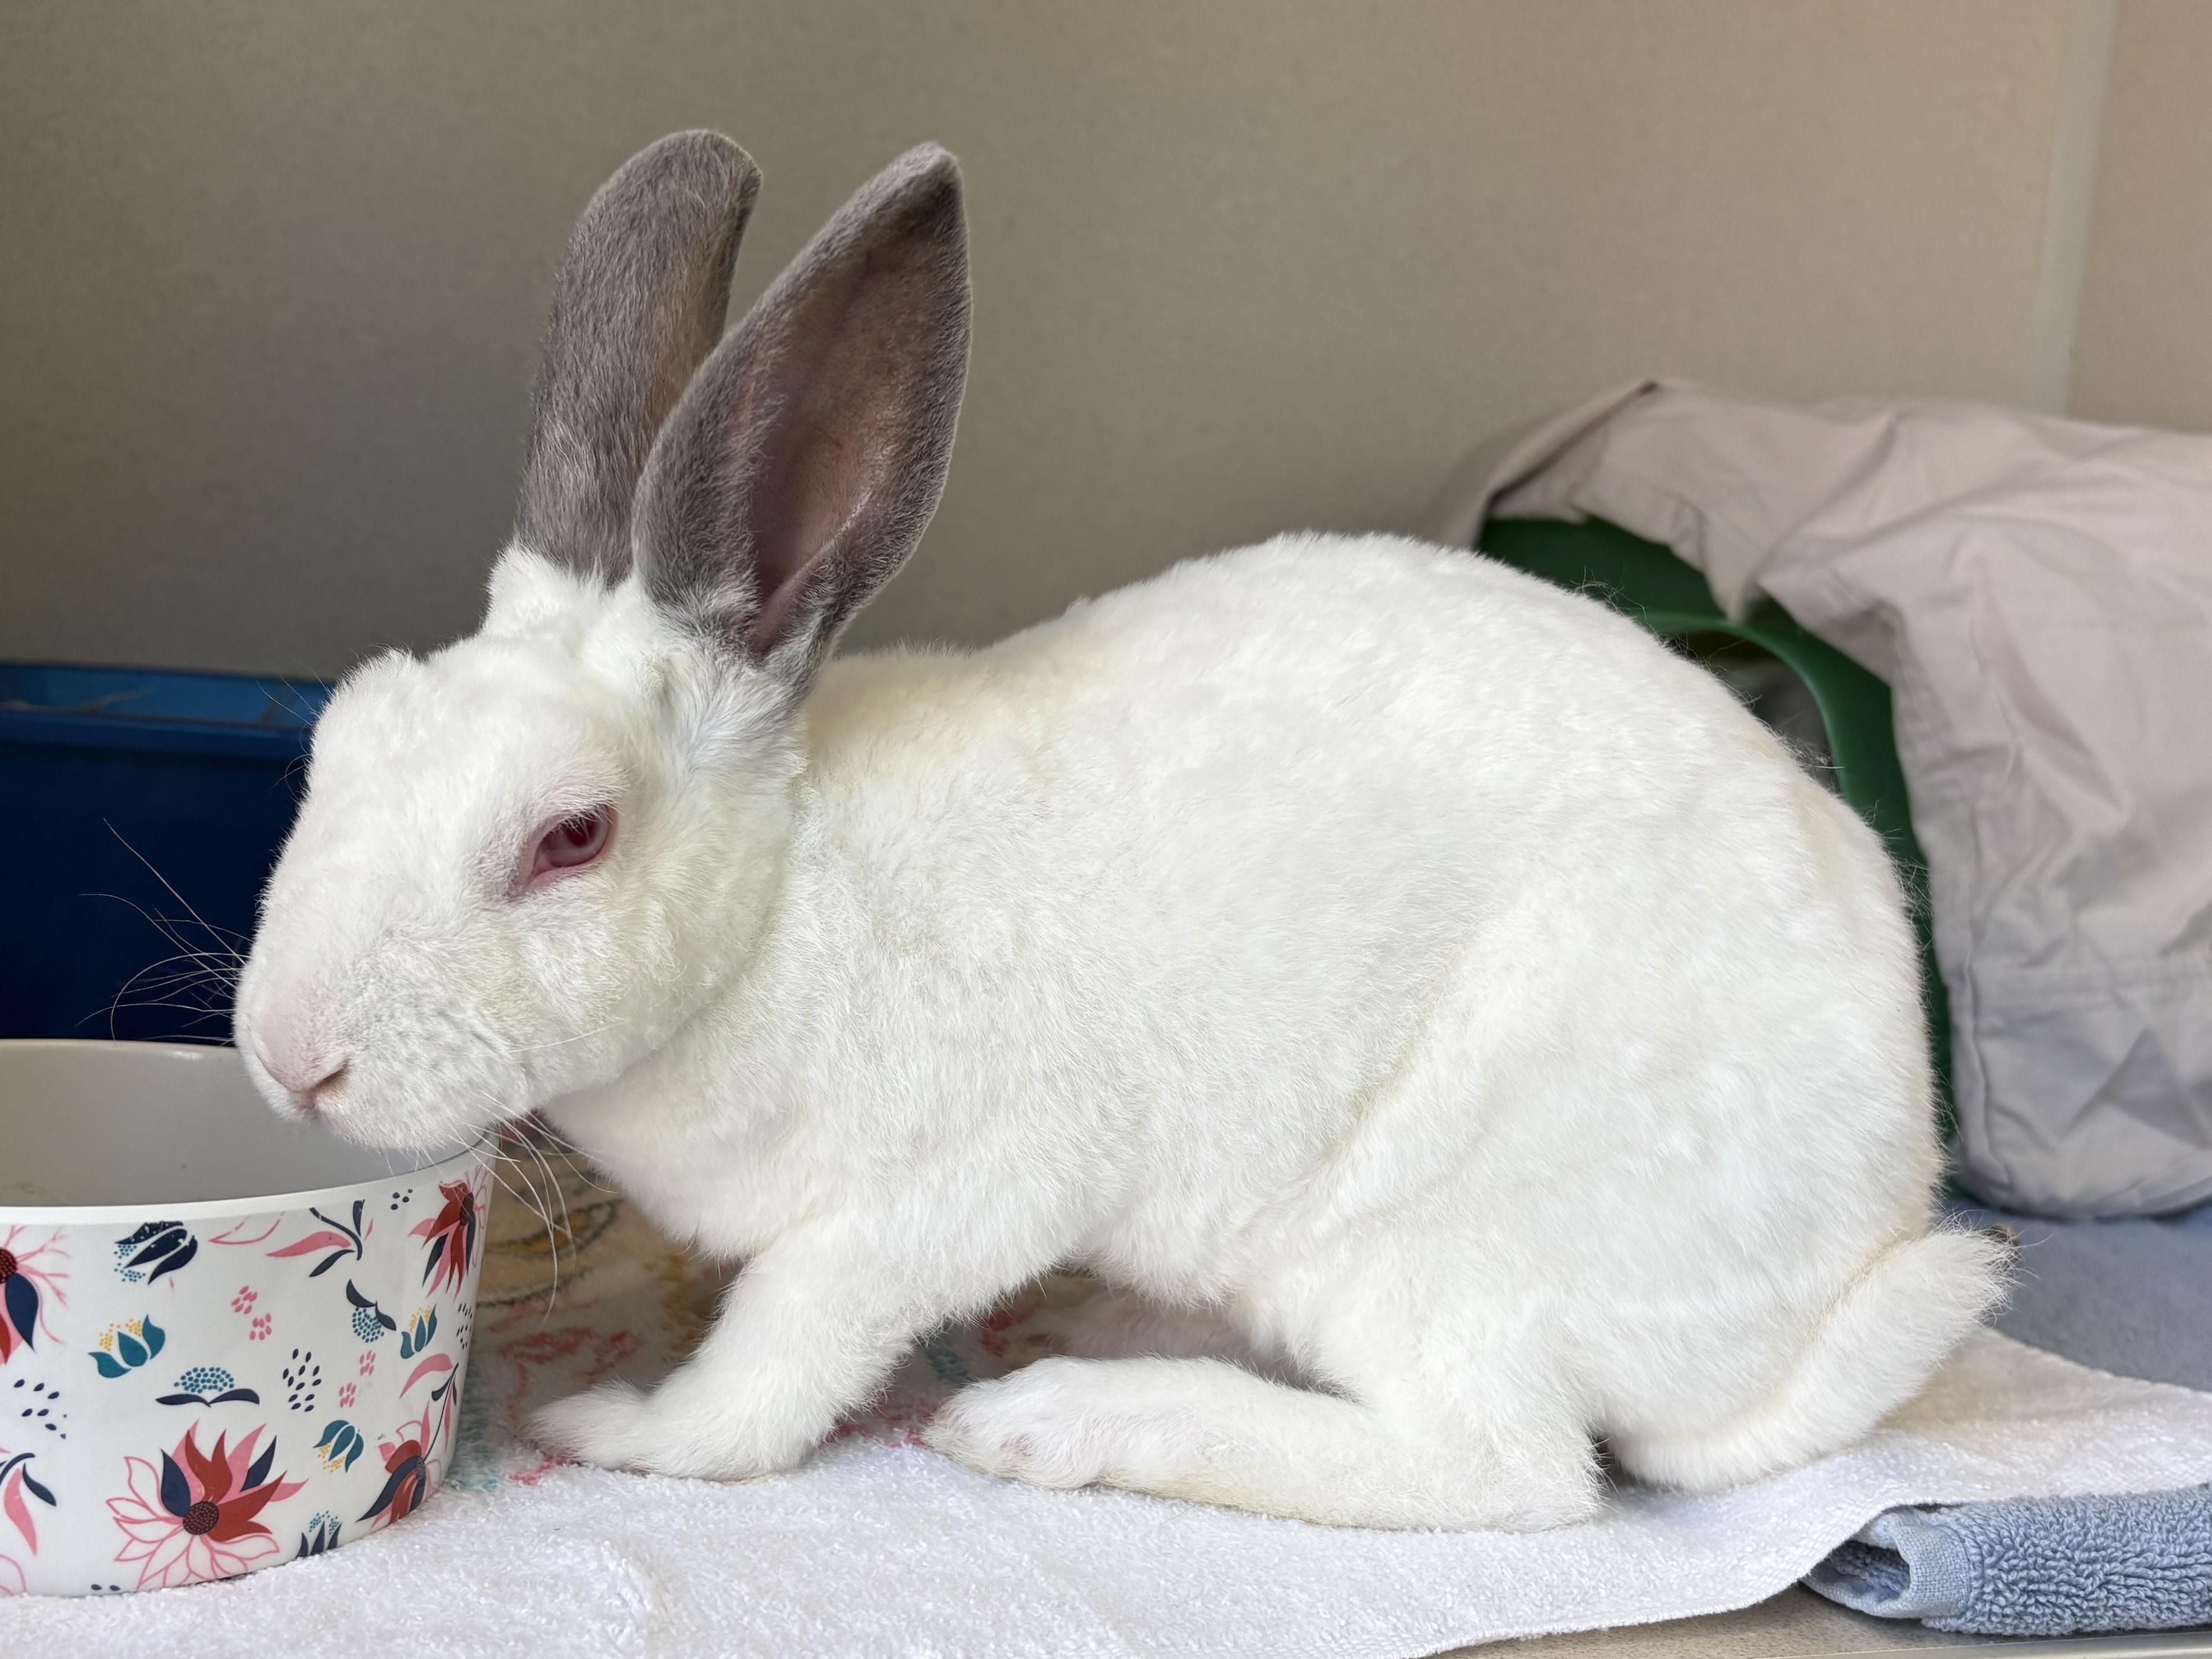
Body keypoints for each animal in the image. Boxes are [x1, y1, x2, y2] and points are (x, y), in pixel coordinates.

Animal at [233, 129, 2007, 1530]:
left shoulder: (916, 1207)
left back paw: (1051, 1418)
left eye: (571, 835)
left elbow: (768, 1371)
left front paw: (622, 1426)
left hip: (1425, 1240)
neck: (779, 909)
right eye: (340, 737)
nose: (289, 1057)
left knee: (1507, 1468)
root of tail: (1834, 1285)